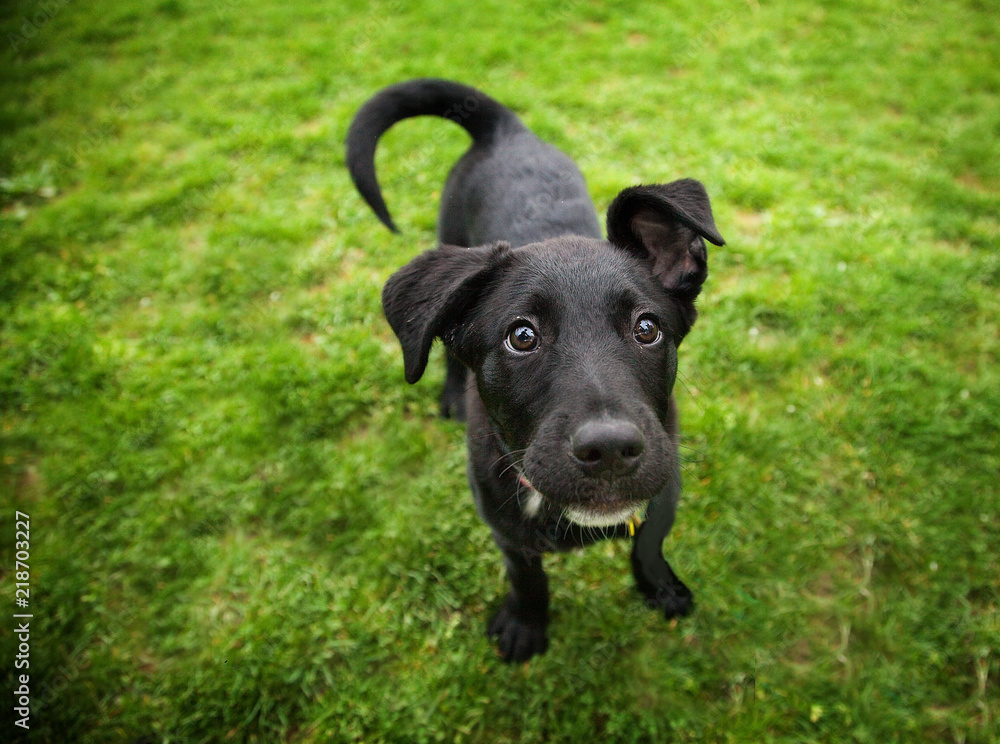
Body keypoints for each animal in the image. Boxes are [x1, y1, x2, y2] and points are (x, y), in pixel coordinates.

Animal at [348, 80, 724, 664]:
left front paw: (659, 586)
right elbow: (527, 578)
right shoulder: (504, 530)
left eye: (647, 328)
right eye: (521, 337)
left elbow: (650, 542)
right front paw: (525, 627)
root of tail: (505, 129)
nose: (611, 449)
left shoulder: (665, 489)